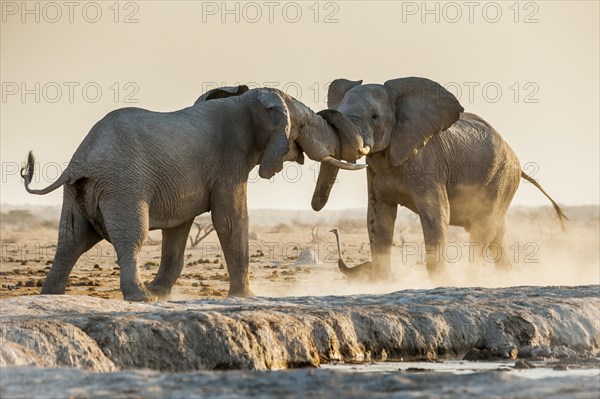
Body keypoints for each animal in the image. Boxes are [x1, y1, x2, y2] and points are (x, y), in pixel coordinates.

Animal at [21, 86, 368, 302]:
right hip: (122, 184)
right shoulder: (229, 161)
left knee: (71, 239)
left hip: (80, 189)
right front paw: (246, 297)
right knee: (131, 236)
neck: (247, 101)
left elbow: (178, 228)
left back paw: (51, 294)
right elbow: (230, 220)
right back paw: (140, 298)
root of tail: (81, 158)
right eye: (305, 125)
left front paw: (161, 292)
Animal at [314, 76, 568, 286]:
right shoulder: (376, 172)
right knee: (497, 235)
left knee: (483, 230)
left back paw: (469, 284)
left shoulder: (428, 163)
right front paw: (382, 285)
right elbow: (378, 217)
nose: (316, 205)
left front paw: (443, 282)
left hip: (502, 178)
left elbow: (436, 213)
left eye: (374, 117)